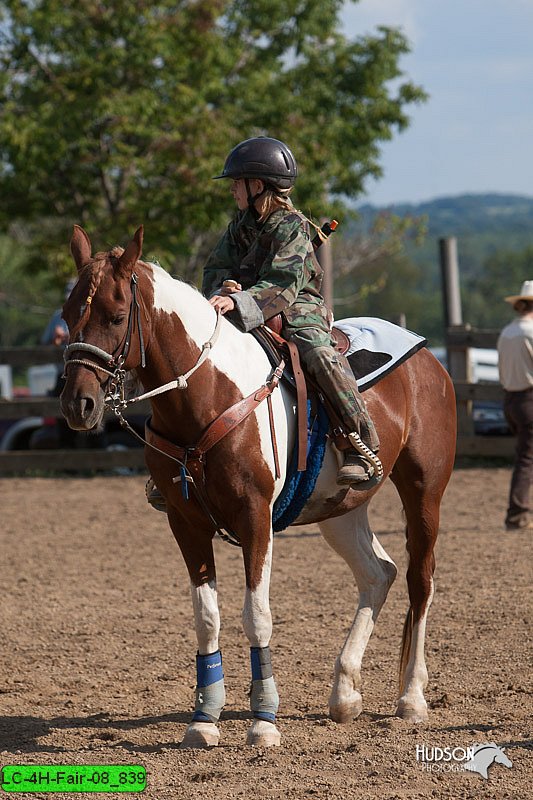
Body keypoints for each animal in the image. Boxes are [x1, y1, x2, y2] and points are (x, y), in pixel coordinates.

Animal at [60, 223, 456, 752]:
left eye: (117, 315)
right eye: (68, 315)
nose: (77, 404)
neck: (207, 395)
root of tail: (427, 355)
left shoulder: (255, 519)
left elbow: (257, 614)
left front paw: (264, 719)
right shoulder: (185, 523)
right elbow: (206, 617)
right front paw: (204, 717)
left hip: (424, 491)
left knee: (420, 579)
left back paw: (411, 699)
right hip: (341, 509)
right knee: (379, 574)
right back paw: (344, 694)